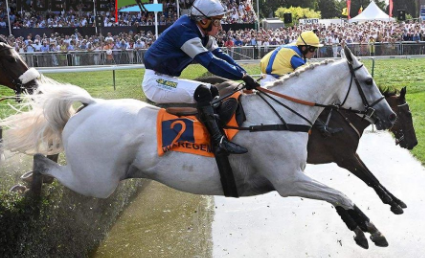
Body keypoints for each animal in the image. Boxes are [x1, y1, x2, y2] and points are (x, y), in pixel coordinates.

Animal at [1, 46, 396, 248]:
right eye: (367, 80)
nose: (389, 115)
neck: (281, 114)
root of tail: (91, 104)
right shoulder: (287, 181)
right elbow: (343, 195)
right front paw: (371, 228)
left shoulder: (298, 176)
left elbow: (340, 196)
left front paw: (364, 227)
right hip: (96, 182)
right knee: (45, 163)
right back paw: (32, 187)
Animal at [199, 75, 418, 215]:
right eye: (406, 113)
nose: (414, 142)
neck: (344, 119)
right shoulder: (345, 157)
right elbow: (371, 179)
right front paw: (393, 203)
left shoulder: (349, 155)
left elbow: (373, 178)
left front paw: (396, 200)